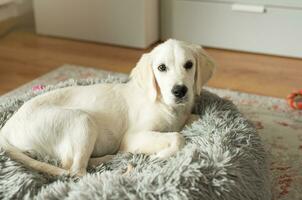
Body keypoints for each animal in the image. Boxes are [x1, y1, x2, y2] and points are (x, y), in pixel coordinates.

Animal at [0, 39, 216, 177]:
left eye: (189, 65)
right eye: (161, 68)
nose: (180, 91)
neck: (163, 102)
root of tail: (6, 129)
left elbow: (190, 121)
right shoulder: (132, 136)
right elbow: (178, 137)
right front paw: (161, 155)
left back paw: (111, 158)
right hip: (83, 120)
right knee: (75, 171)